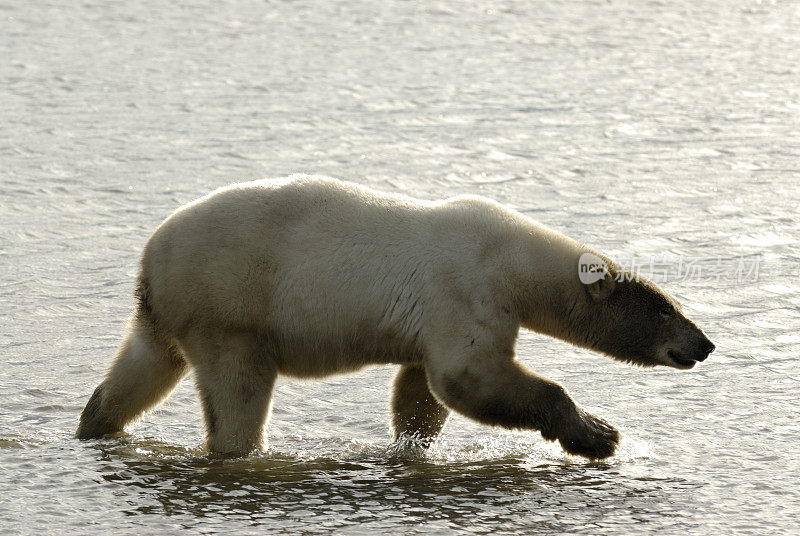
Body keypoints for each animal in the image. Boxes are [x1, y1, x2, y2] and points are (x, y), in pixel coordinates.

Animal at [75, 177, 716, 460]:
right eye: (669, 309)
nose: (704, 344)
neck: (515, 261)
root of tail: (151, 259)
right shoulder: (468, 290)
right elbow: (469, 377)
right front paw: (598, 434)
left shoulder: (437, 318)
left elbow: (422, 391)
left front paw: (410, 447)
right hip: (231, 308)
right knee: (239, 391)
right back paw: (239, 449)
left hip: (170, 314)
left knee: (142, 366)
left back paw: (94, 423)